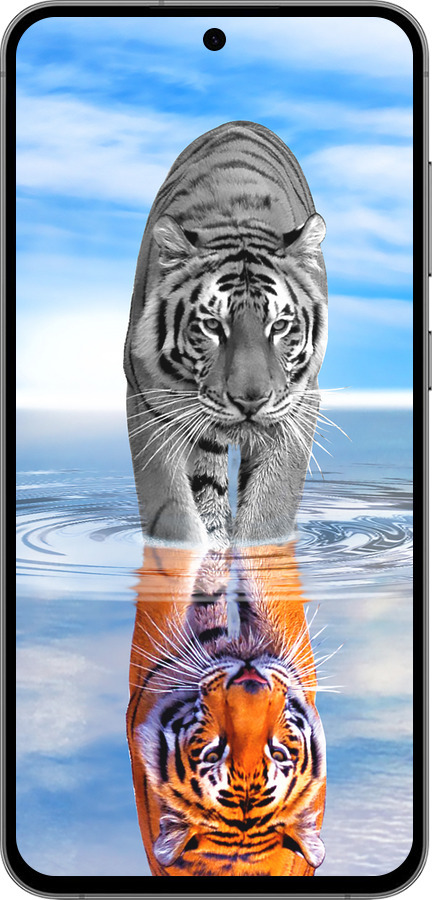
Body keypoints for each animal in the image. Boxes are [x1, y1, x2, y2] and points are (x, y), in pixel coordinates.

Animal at [124, 121, 328, 549]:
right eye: (212, 326)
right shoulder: (148, 401)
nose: (250, 401)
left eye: (279, 326)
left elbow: (270, 509)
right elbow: (172, 513)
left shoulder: (299, 404)